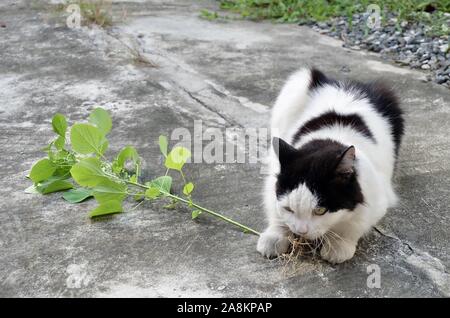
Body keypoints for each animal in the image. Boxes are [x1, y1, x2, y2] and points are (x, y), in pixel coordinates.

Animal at [256, 67, 404, 264]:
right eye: (289, 208)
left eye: (320, 211)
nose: (301, 231)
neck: (328, 141)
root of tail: (344, 83)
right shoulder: (272, 183)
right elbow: (275, 210)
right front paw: (274, 237)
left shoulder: (376, 198)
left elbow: (355, 224)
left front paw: (338, 246)